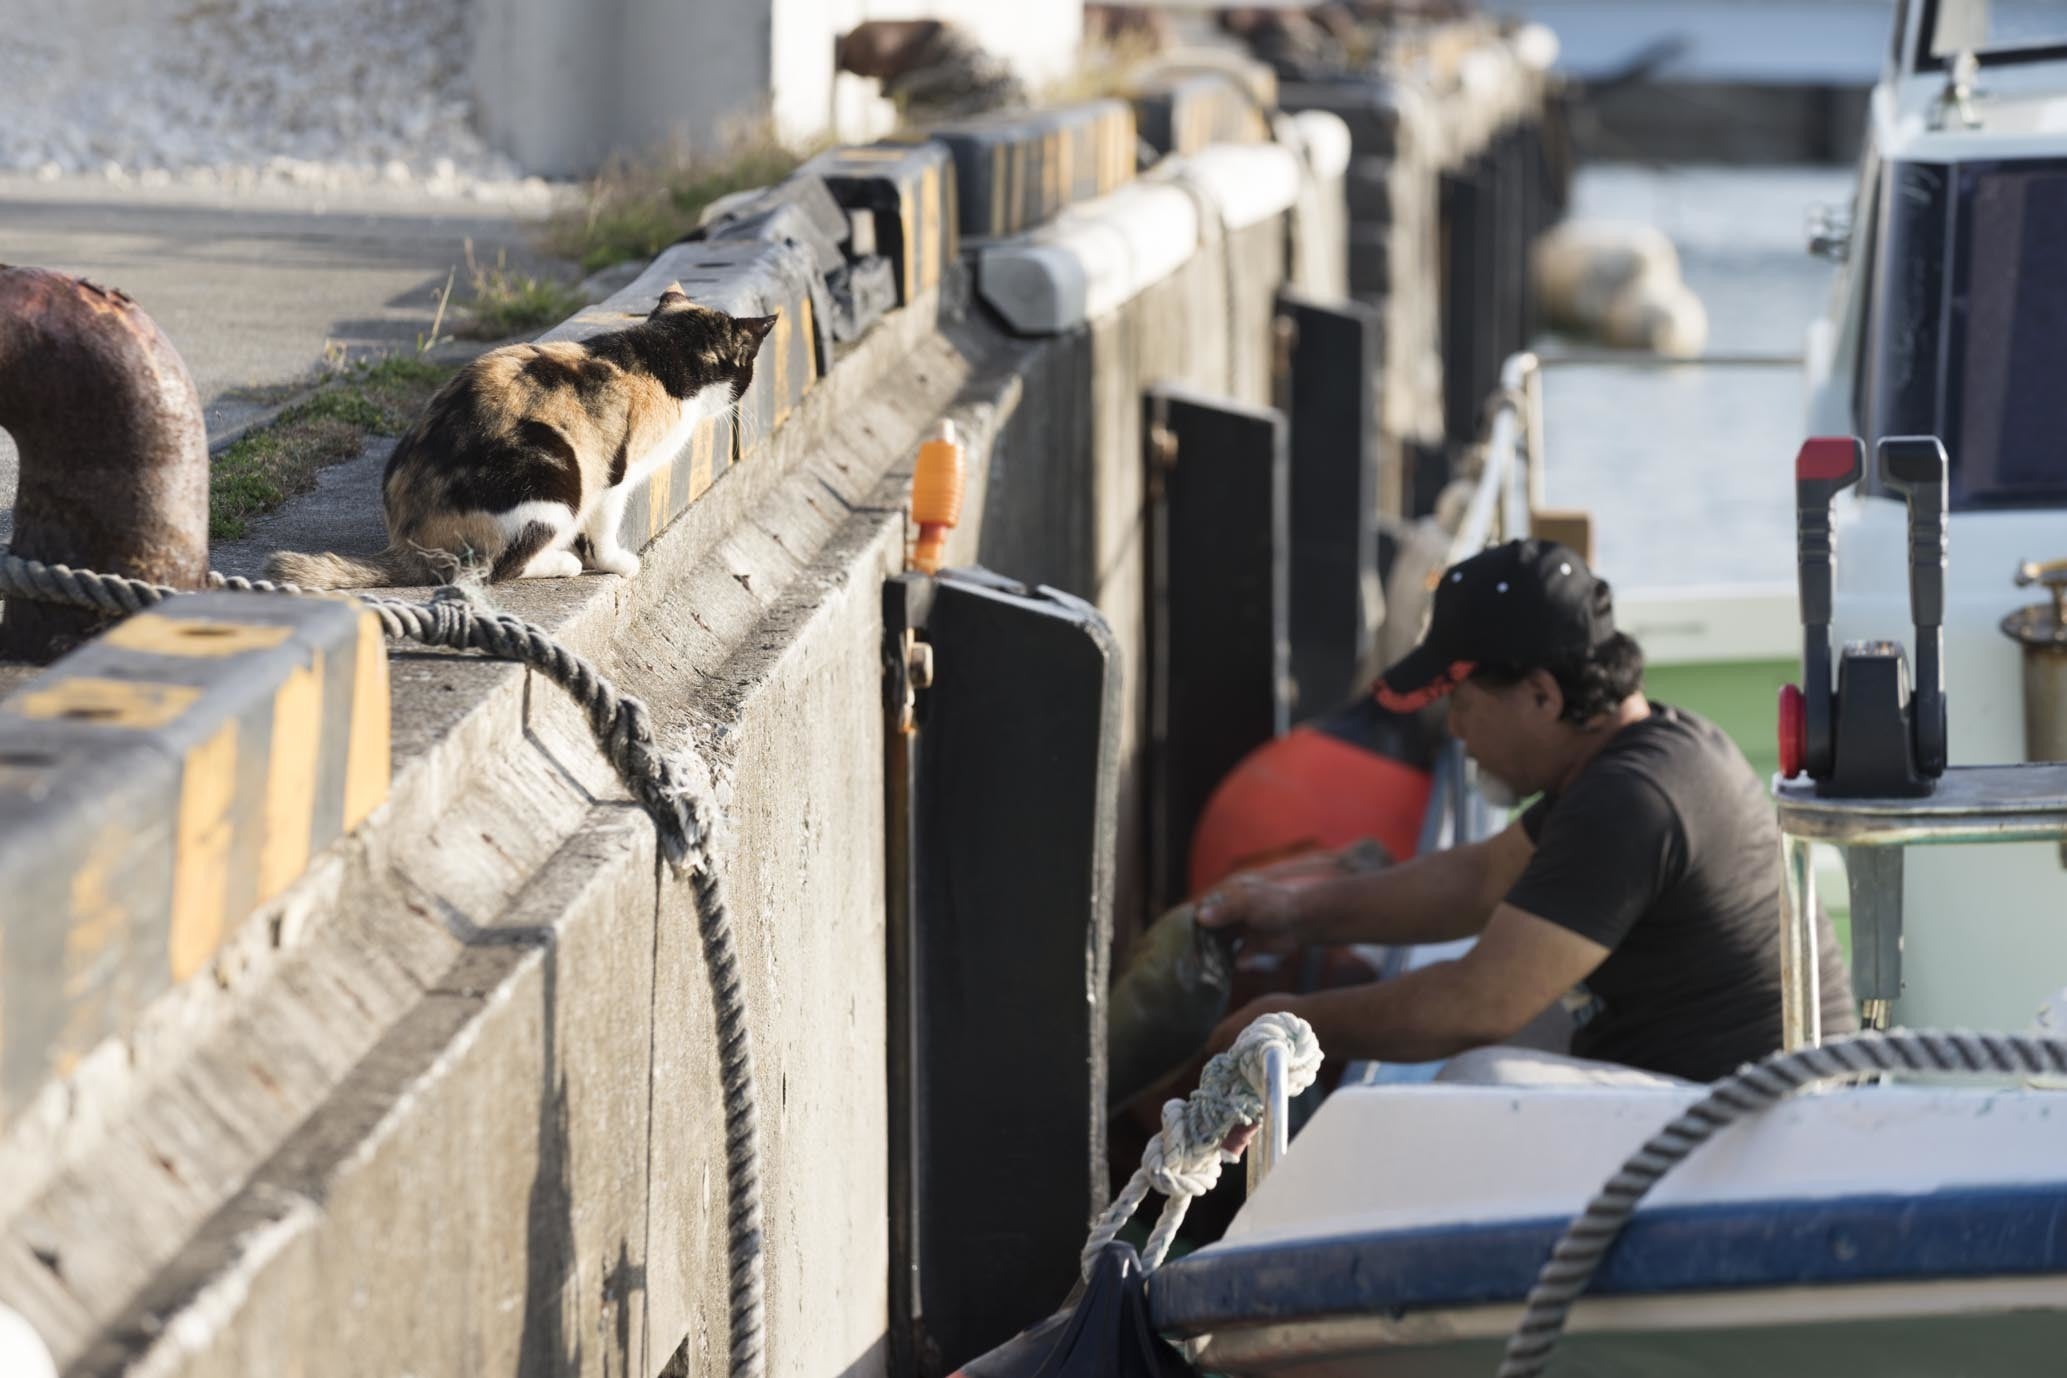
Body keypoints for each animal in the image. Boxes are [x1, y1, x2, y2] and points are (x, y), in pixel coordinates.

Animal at [265, 287, 775, 588]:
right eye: (748, 369)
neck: (661, 357)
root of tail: (407, 547)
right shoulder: (616, 475)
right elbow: (605, 527)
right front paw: (615, 562)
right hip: (551, 478)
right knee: (495, 569)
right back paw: (561, 562)